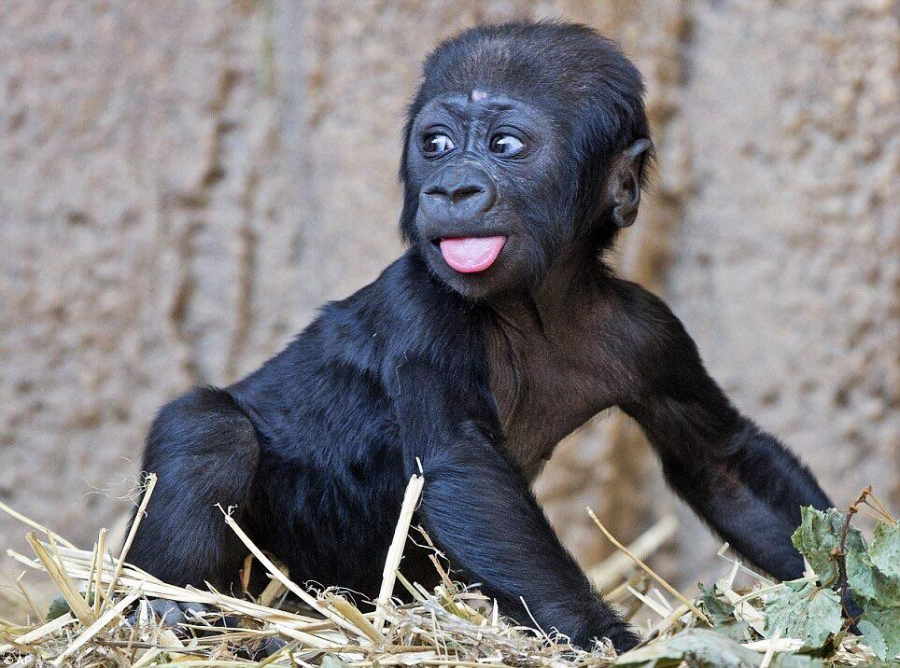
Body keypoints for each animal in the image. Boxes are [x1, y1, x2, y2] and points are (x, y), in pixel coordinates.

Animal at [128, 21, 835, 652]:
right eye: (436, 143)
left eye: (505, 145)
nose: (452, 188)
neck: (539, 302)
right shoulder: (423, 308)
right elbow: (463, 467)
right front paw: (605, 637)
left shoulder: (651, 333)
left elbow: (722, 461)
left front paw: (842, 588)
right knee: (209, 428)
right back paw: (171, 612)